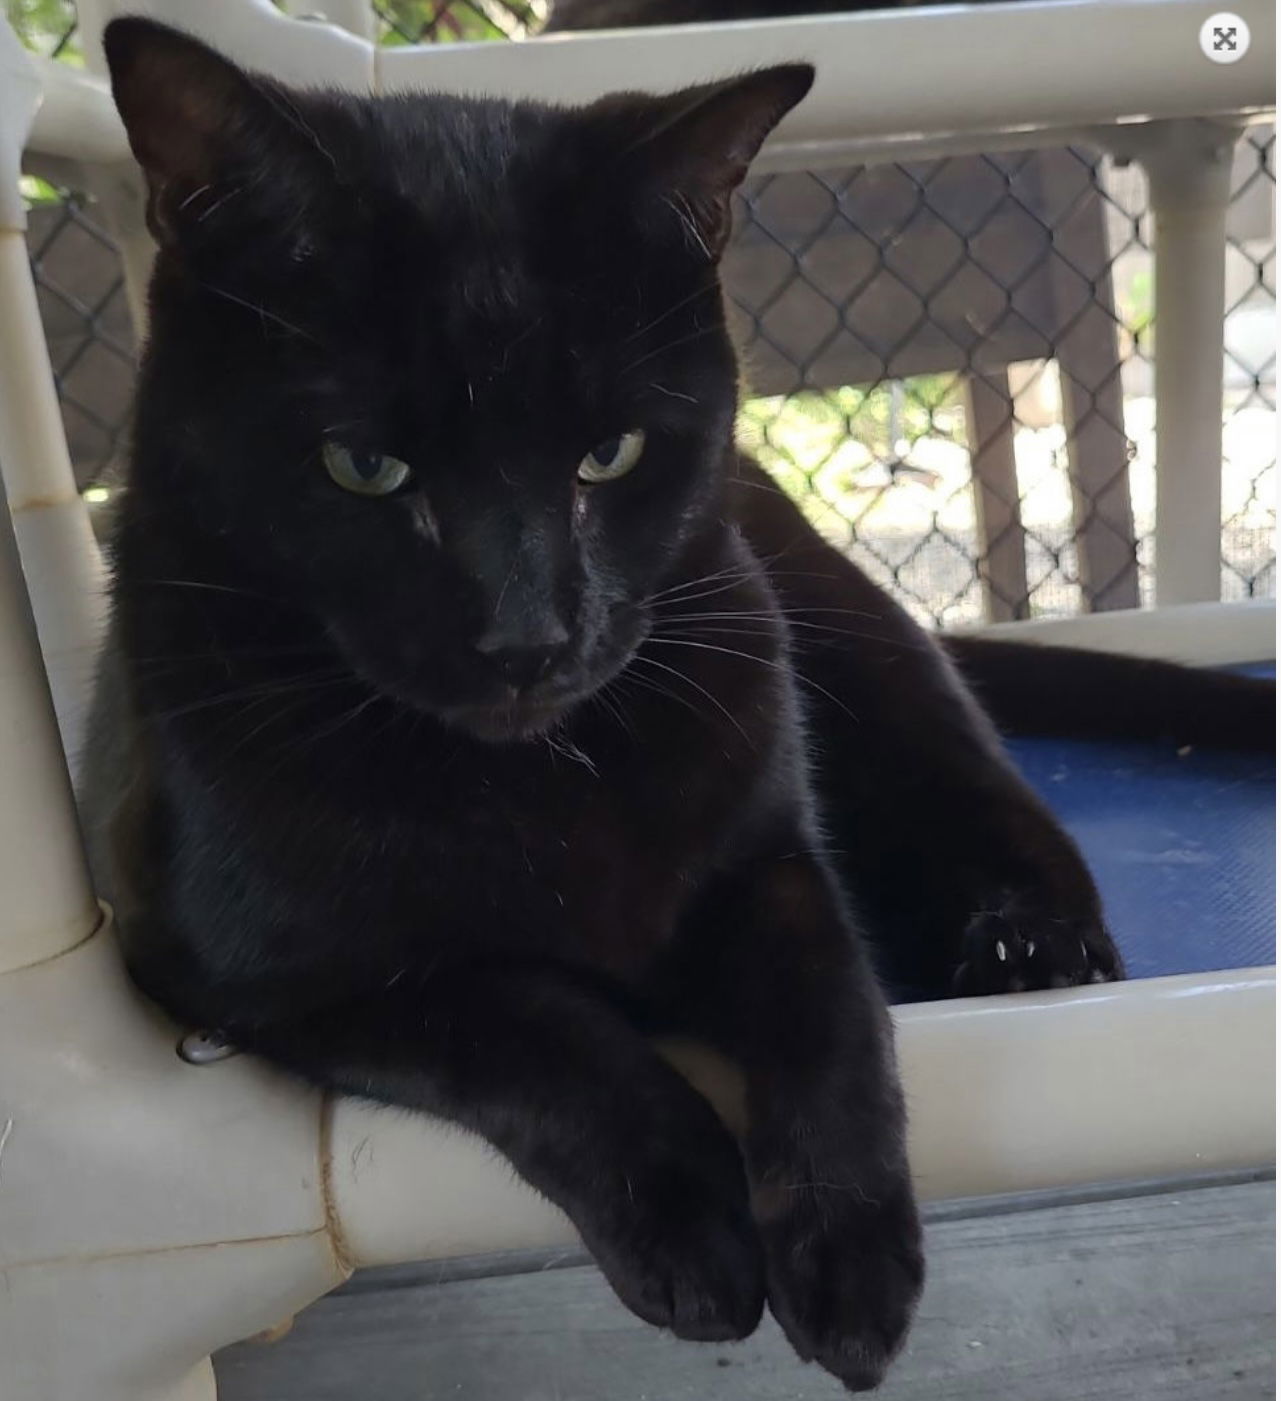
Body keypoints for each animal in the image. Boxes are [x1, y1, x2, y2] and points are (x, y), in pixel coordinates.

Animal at [89, 13, 1266, 1401]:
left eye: (611, 455)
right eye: (365, 467)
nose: (529, 635)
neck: (539, 785)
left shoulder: (769, 856)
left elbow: (830, 1015)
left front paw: (851, 1262)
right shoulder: (254, 983)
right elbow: (533, 1023)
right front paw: (696, 1221)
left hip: (846, 634)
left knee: (987, 784)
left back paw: (1030, 940)